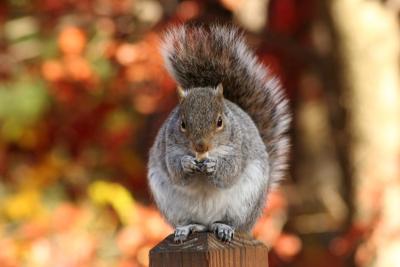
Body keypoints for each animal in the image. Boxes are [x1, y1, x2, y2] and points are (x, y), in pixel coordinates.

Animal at [147, 24, 290, 244]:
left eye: (220, 122)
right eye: (182, 124)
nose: (201, 146)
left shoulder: (239, 148)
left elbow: (230, 172)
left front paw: (214, 166)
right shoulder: (167, 149)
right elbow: (175, 172)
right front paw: (186, 164)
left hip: (245, 202)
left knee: (230, 222)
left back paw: (223, 227)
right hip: (171, 204)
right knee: (193, 222)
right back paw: (187, 228)